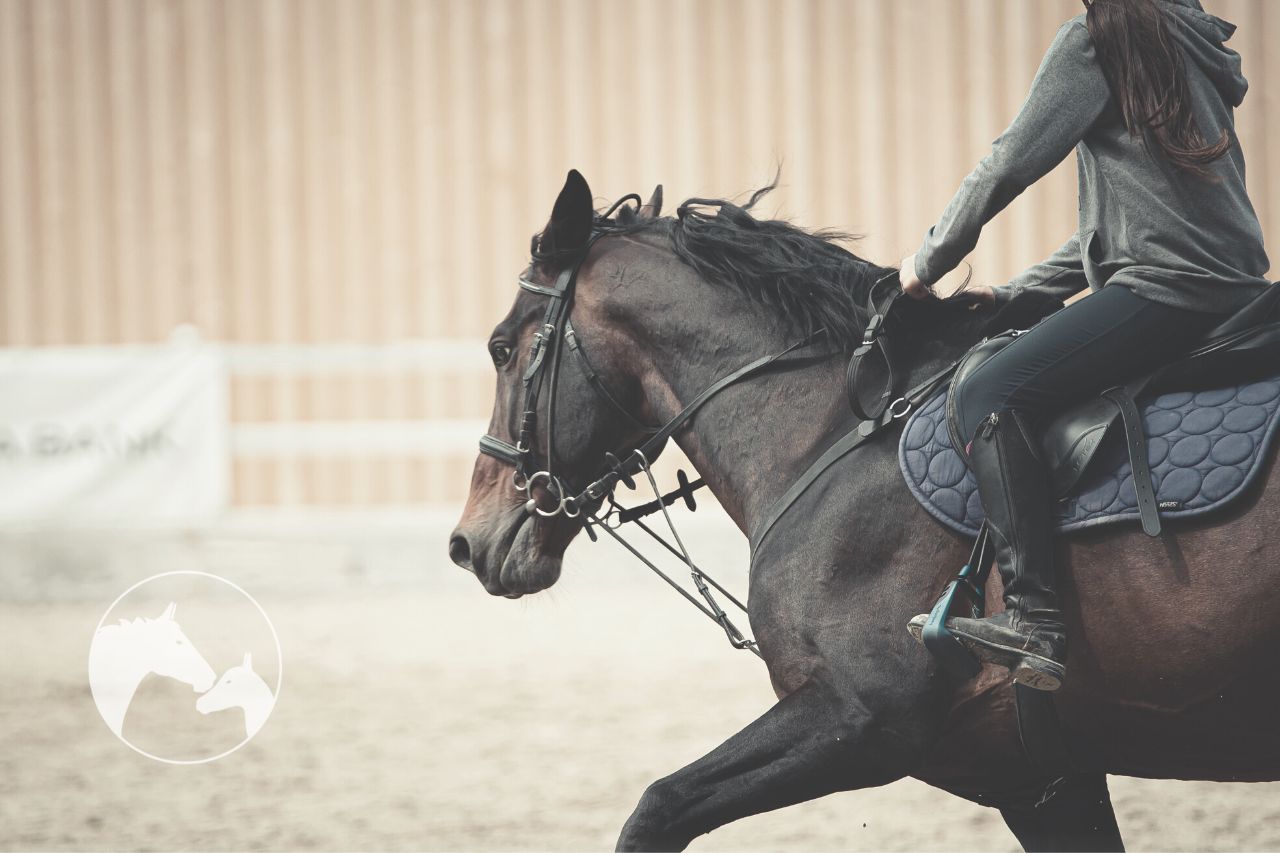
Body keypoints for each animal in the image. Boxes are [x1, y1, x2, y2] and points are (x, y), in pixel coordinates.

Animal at [449, 170, 1280, 851]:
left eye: (500, 347)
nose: (466, 542)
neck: (830, 432)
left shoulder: (862, 721)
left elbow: (656, 807)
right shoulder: (1040, 779)